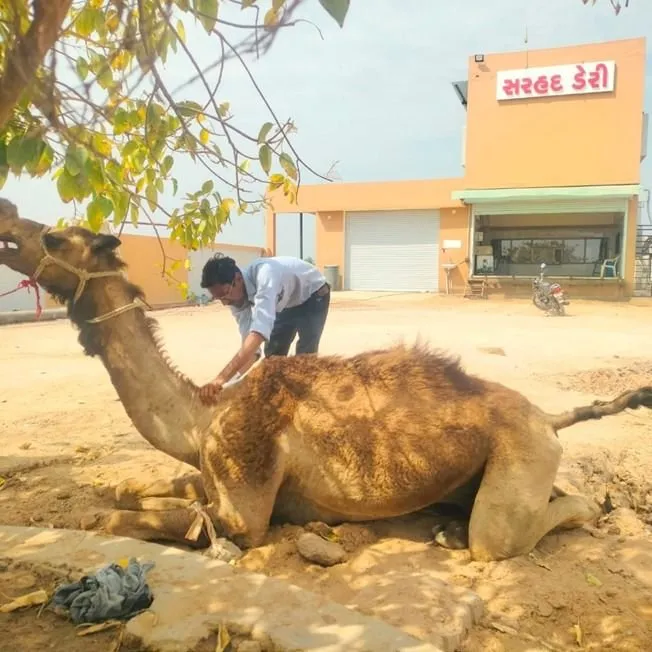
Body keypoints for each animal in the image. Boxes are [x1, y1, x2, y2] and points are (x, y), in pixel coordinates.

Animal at [1, 197, 651, 563]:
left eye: (54, 237)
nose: (8, 216)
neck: (205, 418)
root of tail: (548, 416)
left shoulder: (245, 508)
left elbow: (128, 517)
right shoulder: (212, 475)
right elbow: (134, 489)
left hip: (518, 463)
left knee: (507, 533)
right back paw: (446, 527)